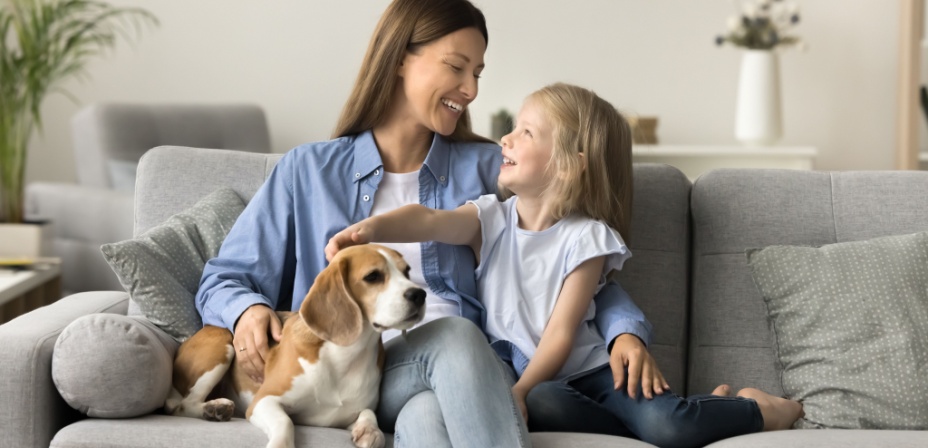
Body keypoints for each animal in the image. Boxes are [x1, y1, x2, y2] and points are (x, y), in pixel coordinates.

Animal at [165, 245, 426, 448]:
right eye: (373, 276)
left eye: (407, 271)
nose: (420, 294)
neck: (346, 354)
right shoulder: (264, 401)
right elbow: (285, 421)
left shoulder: (345, 416)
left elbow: (369, 414)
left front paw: (370, 431)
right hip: (223, 345)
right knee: (183, 406)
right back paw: (213, 409)